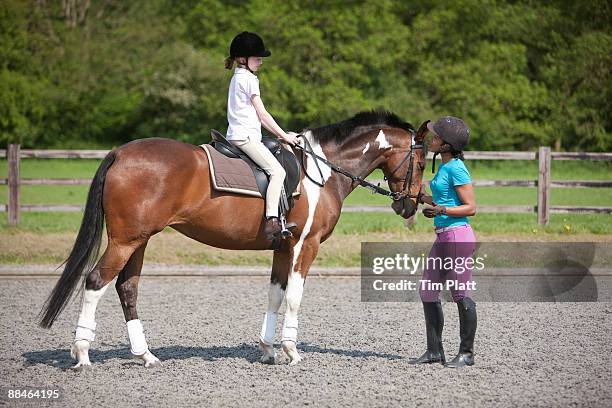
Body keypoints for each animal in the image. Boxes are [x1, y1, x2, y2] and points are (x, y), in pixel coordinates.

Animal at [39, 110, 426, 368]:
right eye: (422, 163)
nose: (409, 206)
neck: (323, 170)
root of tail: (120, 152)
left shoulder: (283, 245)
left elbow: (275, 294)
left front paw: (267, 349)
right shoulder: (306, 244)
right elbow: (295, 296)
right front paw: (291, 350)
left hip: (139, 240)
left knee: (126, 288)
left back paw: (146, 355)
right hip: (125, 241)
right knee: (95, 282)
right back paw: (82, 354)